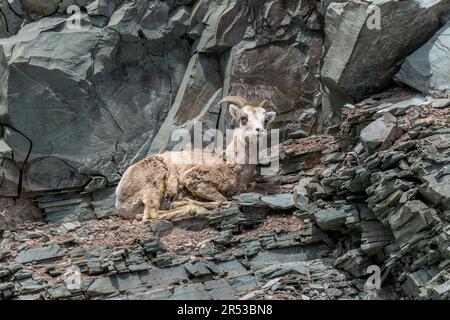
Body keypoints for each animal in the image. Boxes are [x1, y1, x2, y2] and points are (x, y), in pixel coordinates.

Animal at [114, 96, 276, 221]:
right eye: (243, 118)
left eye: (265, 120)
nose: (259, 130)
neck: (234, 166)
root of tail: (120, 200)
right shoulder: (191, 178)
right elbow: (221, 200)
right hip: (154, 184)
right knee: (152, 215)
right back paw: (190, 208)